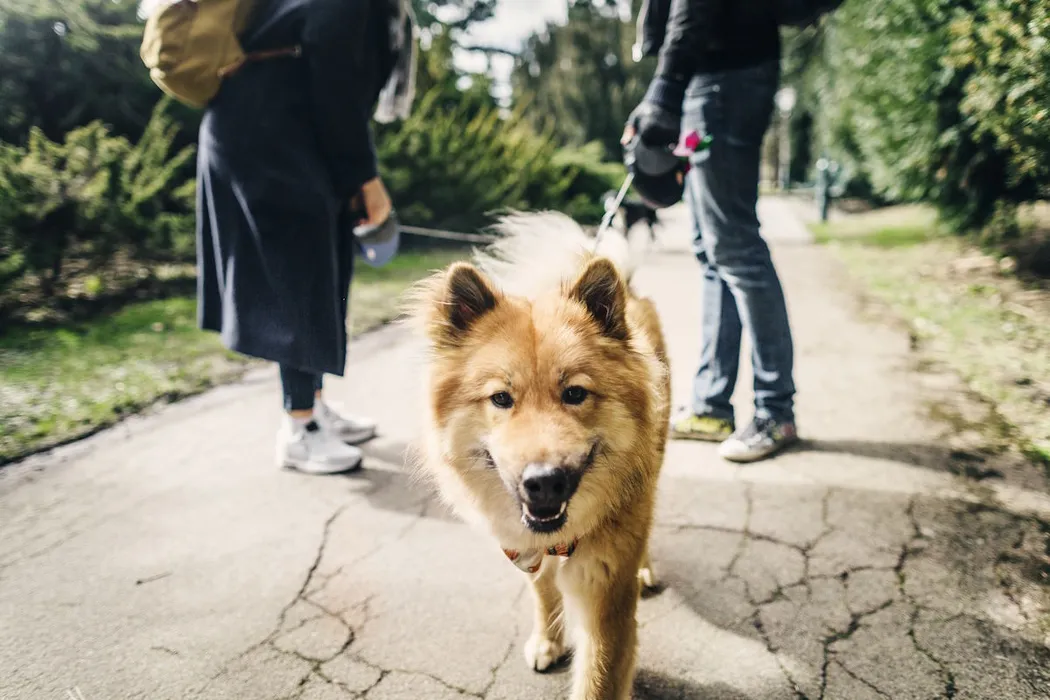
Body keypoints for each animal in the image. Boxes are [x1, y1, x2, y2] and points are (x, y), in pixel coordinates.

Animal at [405, 214, 667, 700]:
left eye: (575, 394)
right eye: (501, 398)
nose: (544, 481)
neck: (560, 540)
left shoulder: (608, 606)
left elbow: (598, 679)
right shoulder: (525, 551)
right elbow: (544, 594)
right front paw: (548, 641)